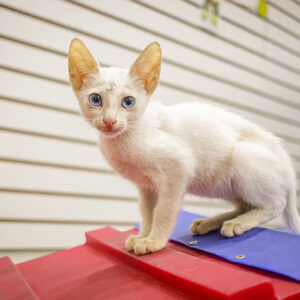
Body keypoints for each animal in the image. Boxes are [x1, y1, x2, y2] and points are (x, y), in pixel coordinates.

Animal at [68, 38, 300, 255]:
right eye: (95, 99)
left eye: (128, 102)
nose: (109, 121)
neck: (127, 136)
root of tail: (288, 165)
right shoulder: (147, 185)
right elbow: (147, 212)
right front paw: (143, 235)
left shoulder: (177, 170)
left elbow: (164, 210)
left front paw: (154, 241)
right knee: (246, 205)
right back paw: (210, 222)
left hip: (244, 160)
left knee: (275, 204)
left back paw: (238, 223)